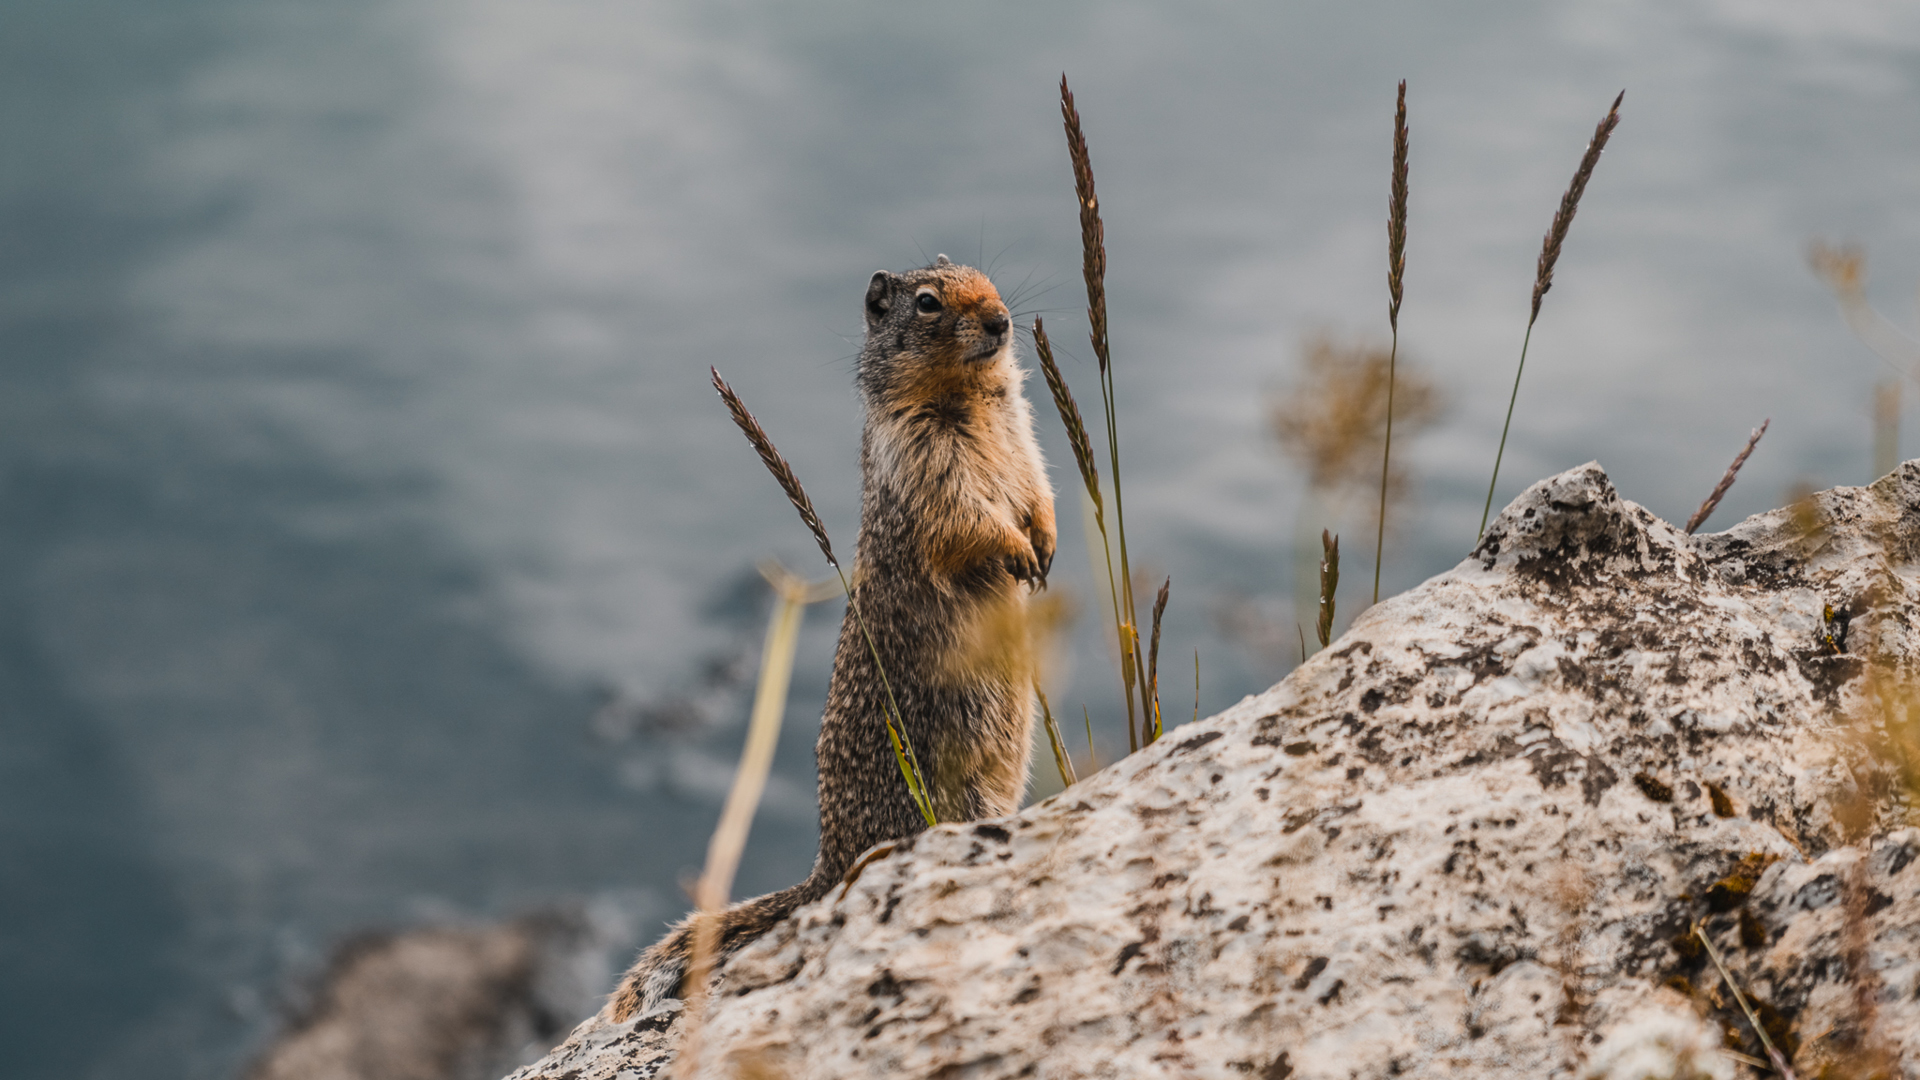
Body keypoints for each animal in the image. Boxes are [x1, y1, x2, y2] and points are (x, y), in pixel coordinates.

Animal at [606, 253, 1059, 1014]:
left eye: (988, 278)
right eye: (928, 303)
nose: (1002, 320)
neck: (971, 399)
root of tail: (830, 867)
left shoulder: (1022, 436)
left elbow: (1039, 490)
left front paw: (1045, 547)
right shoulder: (925, 463)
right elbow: (967, 519)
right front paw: (1018, 553)